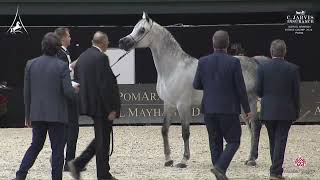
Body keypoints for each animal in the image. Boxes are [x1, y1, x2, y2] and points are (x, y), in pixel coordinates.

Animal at [119, 11, 268, 168]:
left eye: (142, 30)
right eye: (134, 28)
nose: (122, 42)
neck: (173, 68)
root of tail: (254, 62)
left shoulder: (183, 105)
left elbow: (185, 132)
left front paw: (183, 160)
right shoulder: (168, 104)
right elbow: (164, 130)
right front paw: (168, 160)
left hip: (250, 101)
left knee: (256, 125)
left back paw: (252, 159)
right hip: (242, 104)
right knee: (251, 127)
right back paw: (250, 158)